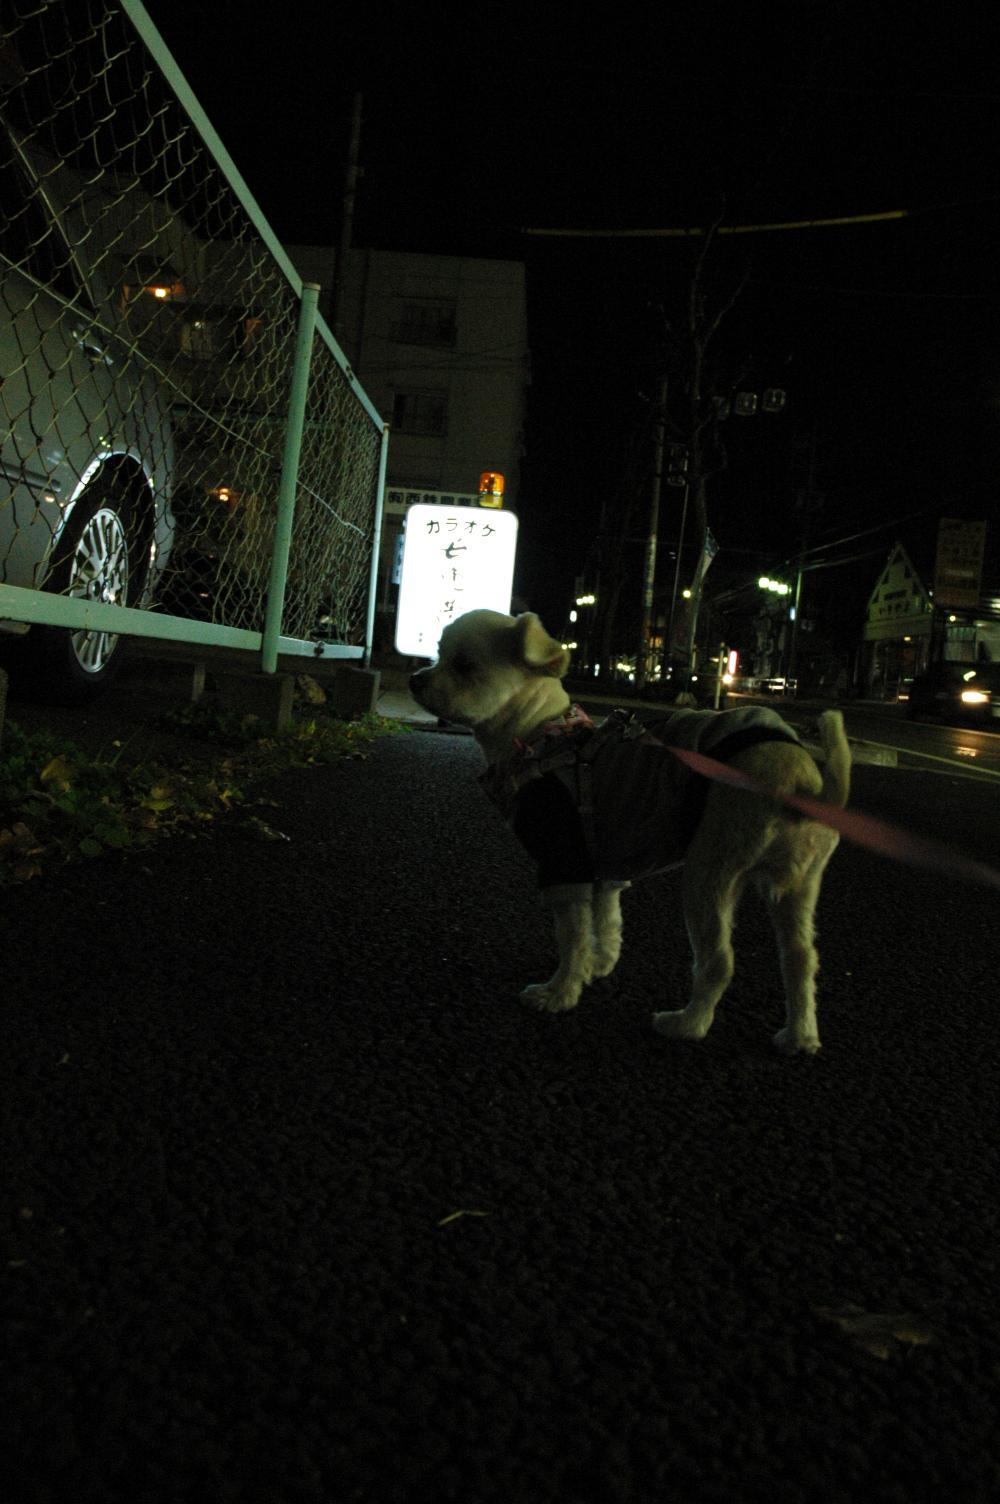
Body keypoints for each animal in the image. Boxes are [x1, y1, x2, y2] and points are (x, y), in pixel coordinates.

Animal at [410, 609, 851, 1053]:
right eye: (437, 653)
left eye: (465, 665)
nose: (416, 678)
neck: (539, 735)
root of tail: (805, 786)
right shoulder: (605, 868)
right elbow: (607, 925)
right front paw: (595, 967)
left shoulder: (564, 863)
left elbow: (572, 938)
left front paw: (558, 993)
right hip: (799, 886)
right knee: (800, 958)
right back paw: (800, 1036)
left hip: (711, 872)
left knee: (718, 962)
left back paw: (687, 1024)